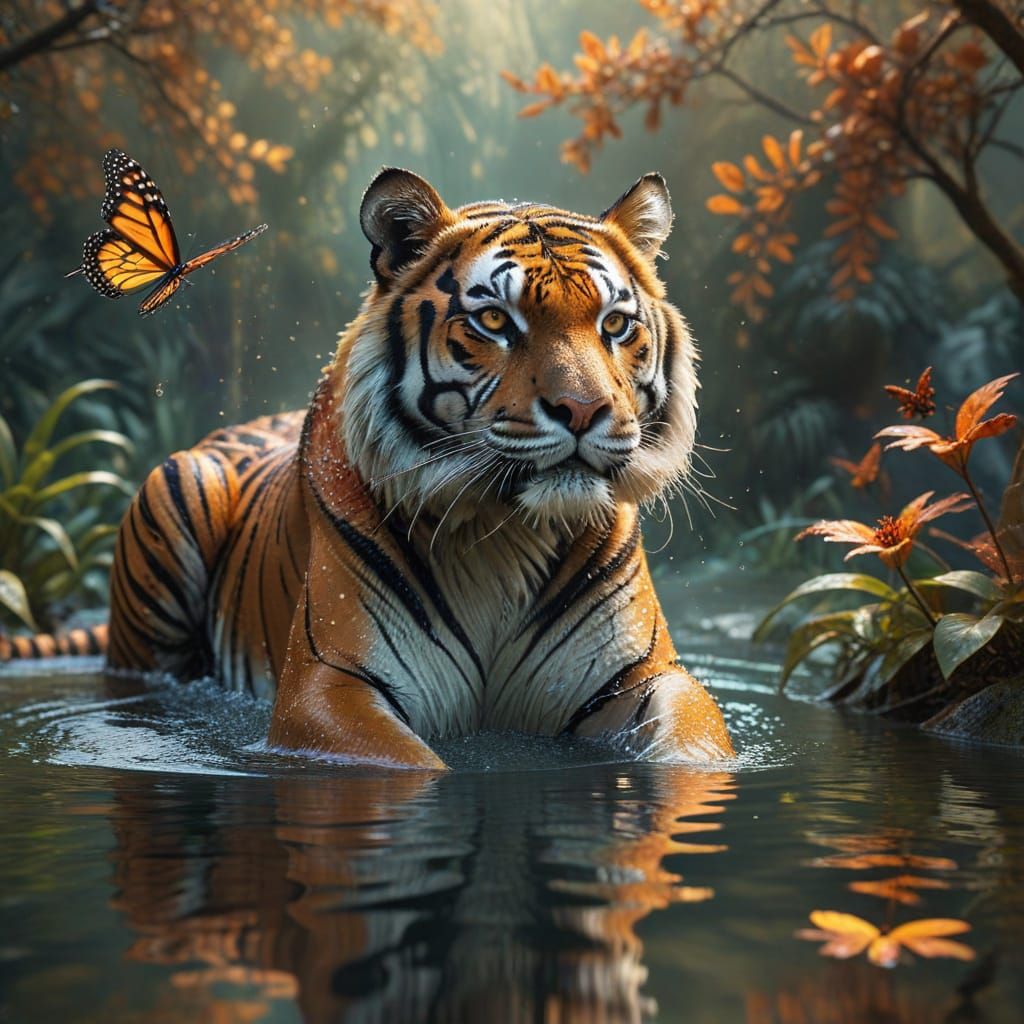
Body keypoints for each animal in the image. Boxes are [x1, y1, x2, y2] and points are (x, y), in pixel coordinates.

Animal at [4, 168, 733, 769]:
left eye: (614, 324)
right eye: (495, 320)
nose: (583, 410)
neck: (503, 534)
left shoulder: (648, 677)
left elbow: (693, 750)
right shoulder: (332, 688)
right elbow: (416, 769)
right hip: (173, 506)